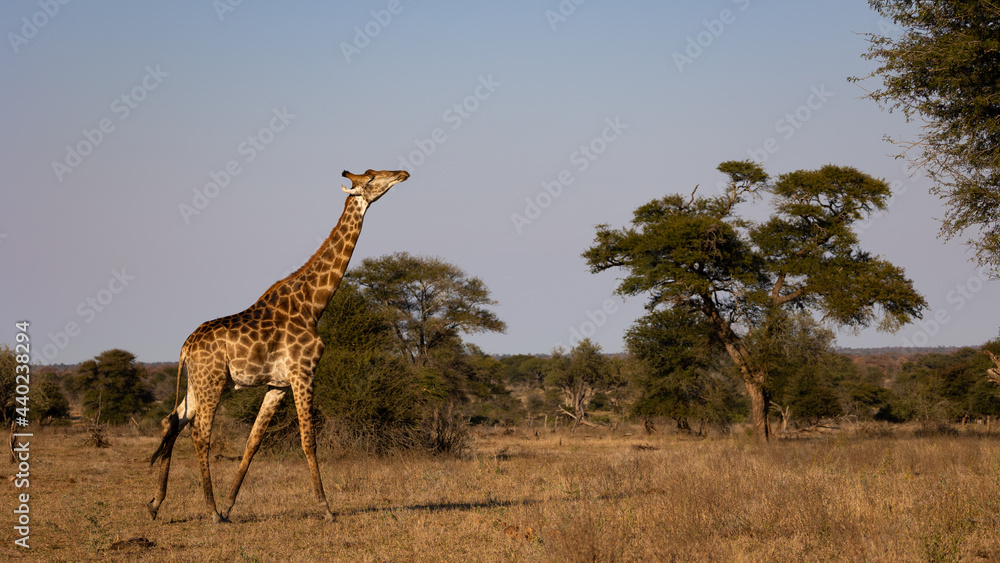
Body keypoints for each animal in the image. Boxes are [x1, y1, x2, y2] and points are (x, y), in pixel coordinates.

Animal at [147, 169, 410, 523]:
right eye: (370, 179)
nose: (402, 173)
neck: (312, 304)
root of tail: (186, 347)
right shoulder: (303, 372)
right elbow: (309, 440)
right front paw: (326, 509)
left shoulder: (278, 384)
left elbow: (254, 441)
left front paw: (230, 505)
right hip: (213, 381)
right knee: (199, 433)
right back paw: (209, 510)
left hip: (197, 383)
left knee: (171, 422)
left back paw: (156, 504)